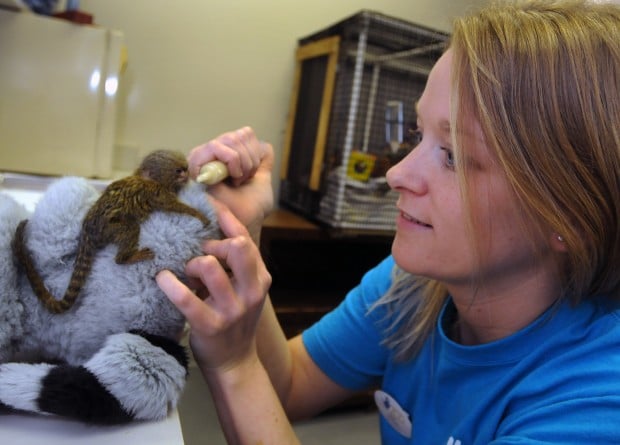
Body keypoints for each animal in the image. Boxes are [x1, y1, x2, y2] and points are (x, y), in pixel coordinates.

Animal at [11, 149, 211, 312]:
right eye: (179, 171)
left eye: (185, 168)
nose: (187, 173)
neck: (149, 179)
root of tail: (88, 230)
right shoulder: (157, 192)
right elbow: (173, 206)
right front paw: (199, 215)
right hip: (109, 228)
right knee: (130, 230)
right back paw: (127, 258)